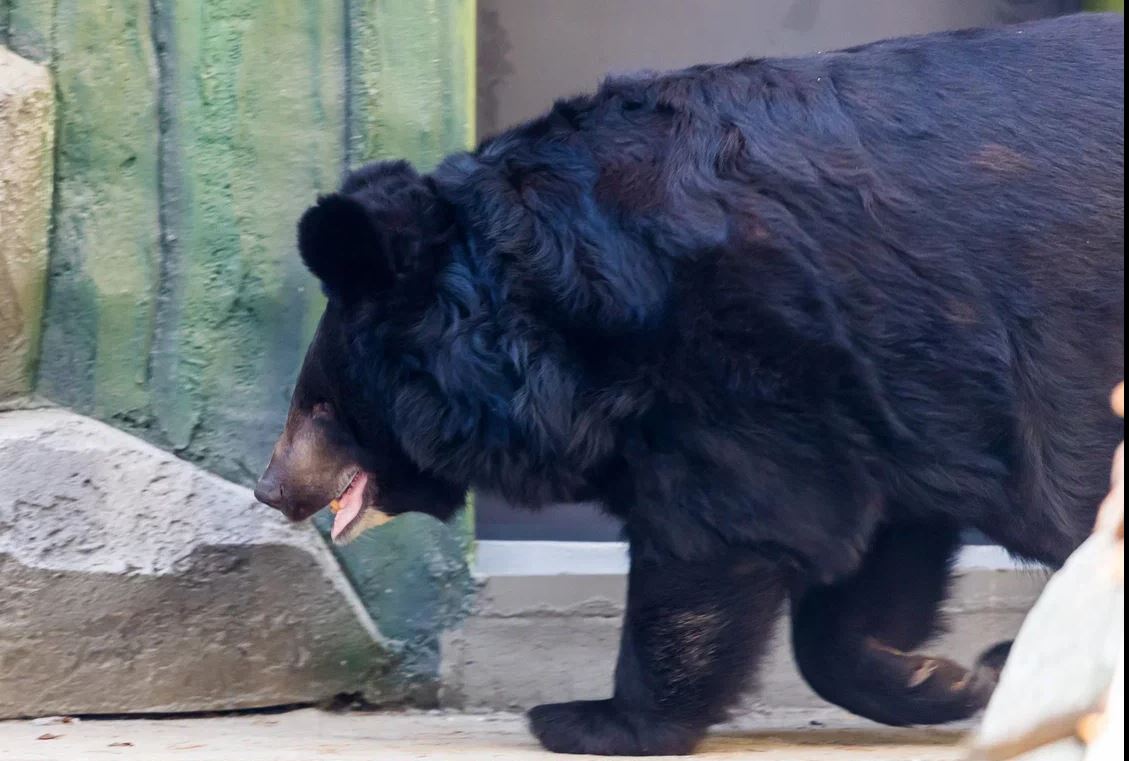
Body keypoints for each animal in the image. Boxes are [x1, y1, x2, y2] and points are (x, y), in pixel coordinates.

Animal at [259, 11, 1124, 754]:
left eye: (322, 403)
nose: (271, 488)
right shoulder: (884, 395)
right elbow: (876, 544)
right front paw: (946, 676)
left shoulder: (742, 355)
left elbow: (724, 531)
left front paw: (589, 719)